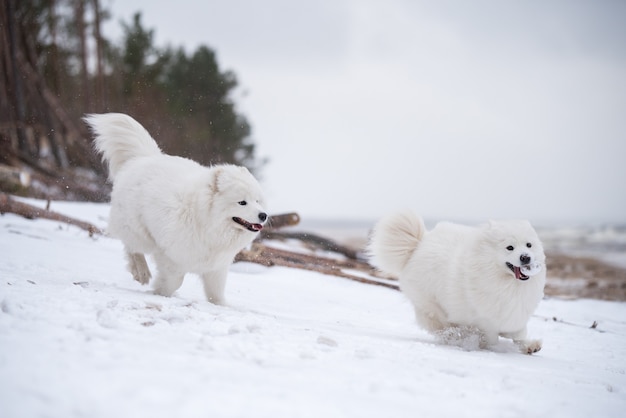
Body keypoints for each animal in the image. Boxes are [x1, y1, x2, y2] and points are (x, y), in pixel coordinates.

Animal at [84, 113, 266, 304]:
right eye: (242, 202)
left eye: (257, 201)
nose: (264, 215)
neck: (205, 222)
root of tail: (144, 157)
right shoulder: (171, 256)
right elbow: (175, 281)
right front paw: (160, 292)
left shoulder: (216, 268)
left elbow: (216, 293)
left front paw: (221, 305)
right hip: (138, 231)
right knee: (132, 247)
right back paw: (141, 272)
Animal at [368, 212, 544, 352]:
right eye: (510, 247)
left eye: (529, 245)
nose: (525, 257)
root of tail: (418, 245)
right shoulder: (485, 319)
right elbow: (491, 336)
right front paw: (487, 345)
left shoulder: (513, 313)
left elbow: (518, 334)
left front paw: (529, 346)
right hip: (434, 307)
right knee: (442, 328)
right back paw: (456, 338)